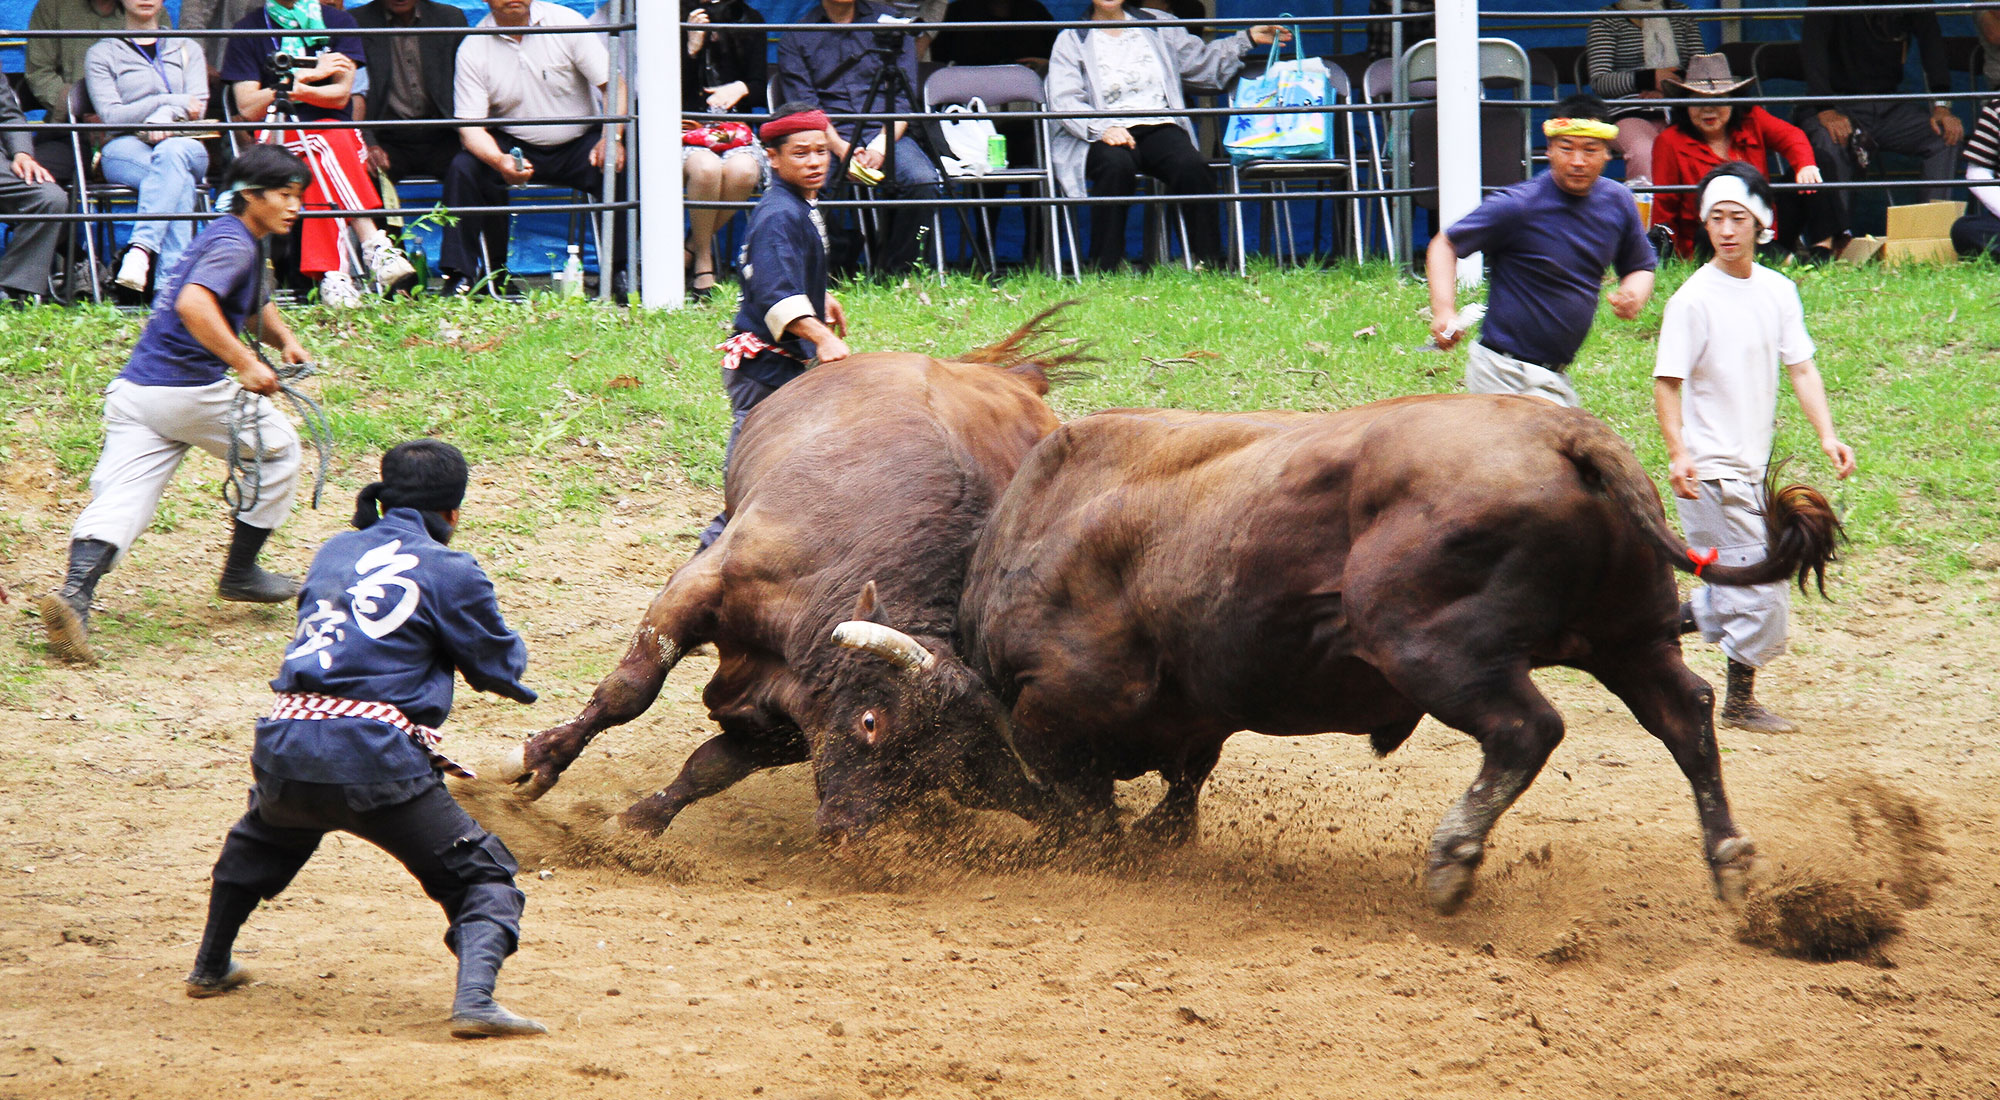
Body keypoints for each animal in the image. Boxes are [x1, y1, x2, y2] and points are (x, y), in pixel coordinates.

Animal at [508, 310, 1088, 836]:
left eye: (940, 769)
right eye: (871, 721)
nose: (847, 828)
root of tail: (1014, 378)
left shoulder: (794, 713)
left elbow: (710, 768)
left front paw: (638, 824)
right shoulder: (701, 587)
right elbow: (629, 690)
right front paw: (541, 758)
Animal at [820, 394, 1832, 916]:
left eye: (869, 722)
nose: (837, 829)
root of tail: (1564, 433)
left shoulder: (1058, 710)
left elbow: (1089, 806)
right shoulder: (1195, 713)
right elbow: (1182, 781)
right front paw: (1160, 837)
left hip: (1435, 648)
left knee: (1526, 729)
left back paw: (1453, 856)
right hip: (1628, 637)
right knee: (1685, 716)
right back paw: (1730, 859)